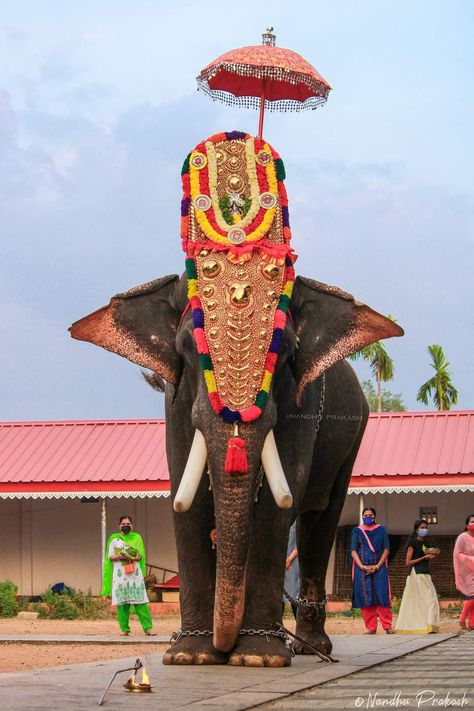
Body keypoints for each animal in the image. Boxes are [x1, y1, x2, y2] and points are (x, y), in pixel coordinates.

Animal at [69, 131, 404, 672]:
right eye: (189, 349)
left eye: (284, 352)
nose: (223, 648)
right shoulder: (175, 398)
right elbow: (184, 495)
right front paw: (189, 655)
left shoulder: (301, 401)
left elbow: (278, 502)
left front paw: (258, 658)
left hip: (354, 429)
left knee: (320, 517)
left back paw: (311, 646)